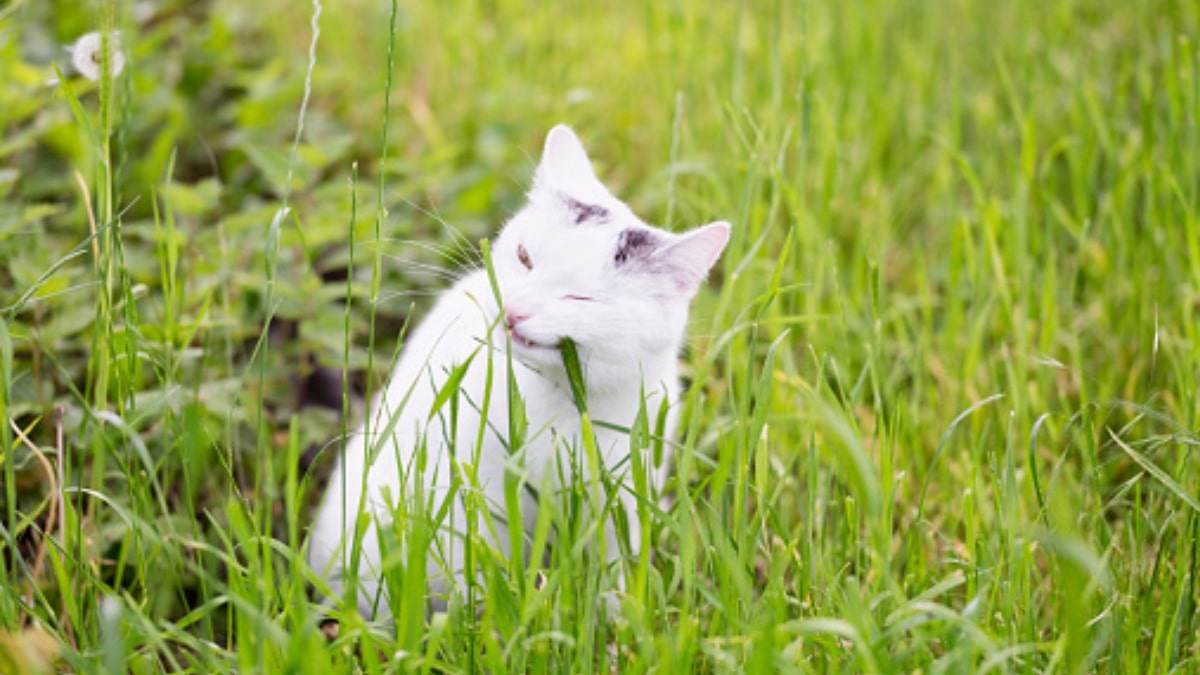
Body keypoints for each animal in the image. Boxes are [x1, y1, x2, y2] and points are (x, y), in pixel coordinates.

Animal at [309, 123, 724, 619]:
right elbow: (482, 559)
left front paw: (618, 622)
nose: (514, 310)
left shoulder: (623, 492)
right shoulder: (477, 488)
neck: (561, 399)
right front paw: (491, 613)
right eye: (525, 257)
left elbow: (614, 568)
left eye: (579, 299)